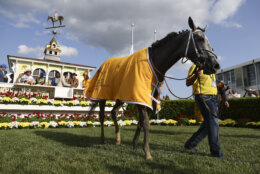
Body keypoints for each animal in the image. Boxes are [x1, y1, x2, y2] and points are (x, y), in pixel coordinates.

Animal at [85, 17, 219, 160]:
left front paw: (134, 144)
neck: (154, 62)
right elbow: (146, 124)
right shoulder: (141, 99)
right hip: (102, 96)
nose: (215, 65)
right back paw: (103, 139)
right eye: (200, 38)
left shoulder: (148, 99)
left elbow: (140, 122)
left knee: (114, 112)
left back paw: (118, 139)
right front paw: (147, 152)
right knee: (102, 116)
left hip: (121, 97)